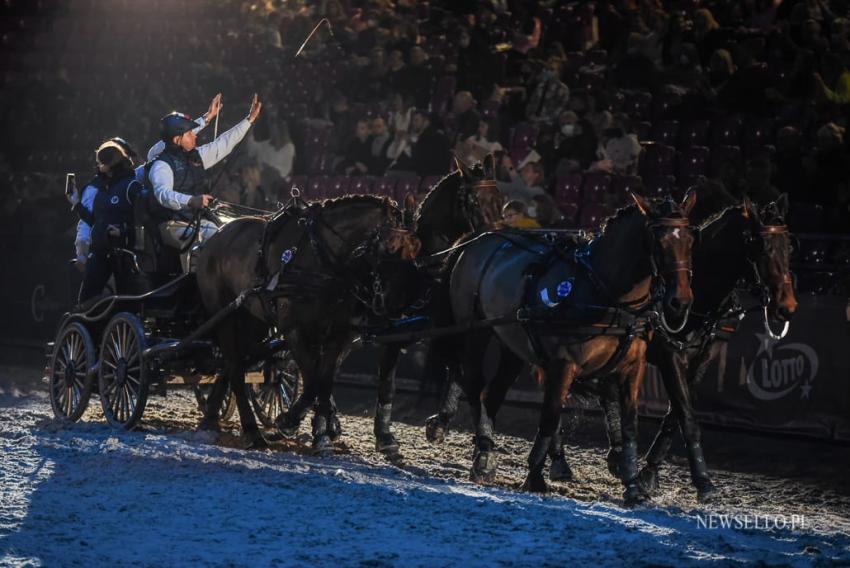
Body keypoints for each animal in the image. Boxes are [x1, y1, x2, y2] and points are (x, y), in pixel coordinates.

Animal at [193, 196, 418, 452]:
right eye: (389, 247)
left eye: (415, 250)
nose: (397, 304)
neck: (320, 257)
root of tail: (217, 234)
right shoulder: (294, 330)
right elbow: (312, 382)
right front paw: (290, 421)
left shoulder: (338, 333)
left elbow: (324, 381)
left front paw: (322, 433)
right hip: (224, 316)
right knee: (236, 370)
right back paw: (251, 431)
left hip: (251, 320)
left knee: (232, 366)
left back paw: (211, 420)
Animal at [444, 193, 696, 504]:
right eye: (658, 242)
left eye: (690, 238)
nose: (680, 301)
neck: (605, 292)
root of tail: (480, 238)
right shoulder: (564, 363)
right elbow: (550, 416)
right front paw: (534, 476)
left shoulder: (631, 368)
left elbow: (629, 425)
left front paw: (632, 485)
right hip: (475, 331)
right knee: (474, 384)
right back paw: (481, 454)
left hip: (511, 343)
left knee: (492, 392)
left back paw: (486, 448)